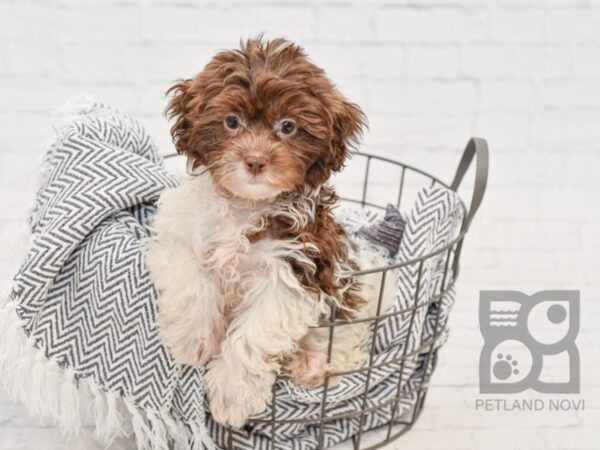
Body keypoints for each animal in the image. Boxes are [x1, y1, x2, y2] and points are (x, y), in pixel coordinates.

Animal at [146, 37, 380, 428]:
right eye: (231, 122)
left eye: (287, 126)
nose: (255, 161)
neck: (246, 206)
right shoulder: (180, 232)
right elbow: (192, 281)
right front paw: (192, 341)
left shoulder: (293, 270)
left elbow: (253, 332)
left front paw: (232, 394)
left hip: (347, 302)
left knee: (344, 338)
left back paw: (312, 366)